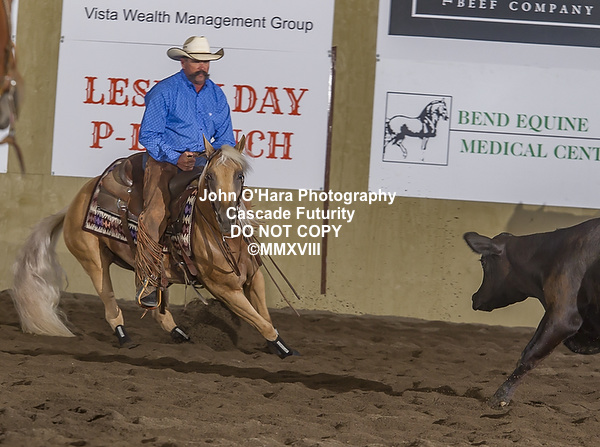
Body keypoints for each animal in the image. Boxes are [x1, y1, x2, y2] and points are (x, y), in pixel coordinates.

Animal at [10, 136, 299, 358]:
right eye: (210, 177)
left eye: (240, 175)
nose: (227, 219)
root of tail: (74, 204)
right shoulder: (224, 289)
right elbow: (260, 321)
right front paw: (284, 350)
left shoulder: (254, 278)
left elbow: (264, 316)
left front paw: (279, 346)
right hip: (94, 262)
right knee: (110, 304)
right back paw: (125, 337)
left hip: (156, 271)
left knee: (158, 311)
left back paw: (180, 334)